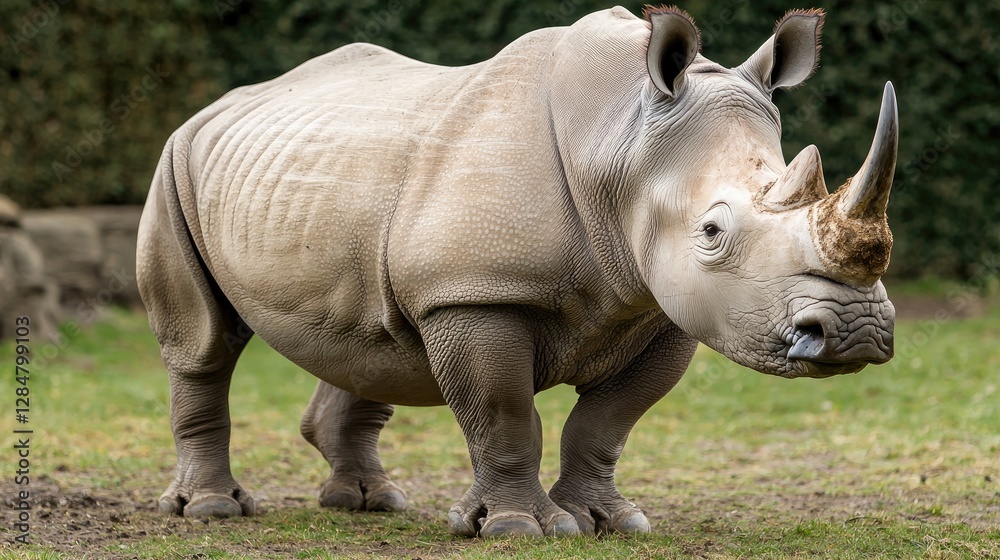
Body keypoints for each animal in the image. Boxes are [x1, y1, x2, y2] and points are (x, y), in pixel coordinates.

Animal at [137, 5, 898, 537]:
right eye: (711, 232)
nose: (855, 331)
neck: (622, 145)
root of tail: (220, 103)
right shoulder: (475, 293)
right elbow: (503, 411)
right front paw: (517, 529)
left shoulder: (665, 306)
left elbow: (607, 422)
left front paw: (611, 522)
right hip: (174, 159)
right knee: (203, 341)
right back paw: (211, 511)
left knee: (368, 339)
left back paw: (369, 504)